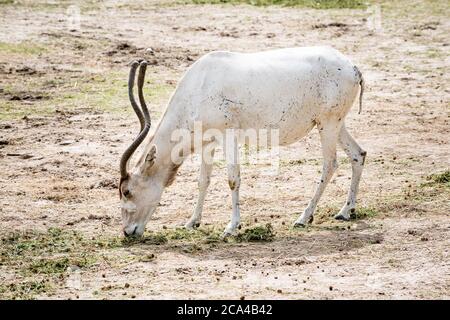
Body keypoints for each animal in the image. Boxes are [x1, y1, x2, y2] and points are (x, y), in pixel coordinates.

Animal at [118, 47, 366, 238]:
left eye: (127, 191)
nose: (128, 232)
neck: (199, 86)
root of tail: (353, 67)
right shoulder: (208, 142)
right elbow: (203, 181)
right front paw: (192, 222)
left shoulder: (228, 136)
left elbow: (232, 179)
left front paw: (232, 227)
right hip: (335, 124)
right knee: (358, 154)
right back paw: (346, 211)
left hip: (328, 124)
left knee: (330, 164)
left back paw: (304, 217)